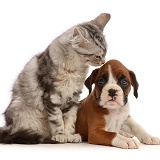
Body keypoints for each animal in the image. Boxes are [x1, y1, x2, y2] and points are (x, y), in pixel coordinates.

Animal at [0, 12, 110, 144]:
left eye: (105, 53)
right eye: (98, 56)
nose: (103, 62)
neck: (74, 68)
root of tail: (8, 127)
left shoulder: (73, 96)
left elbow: (70, 118)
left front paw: (69, 135)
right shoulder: (51, 95)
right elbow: (57, 119)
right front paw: (60, 135)